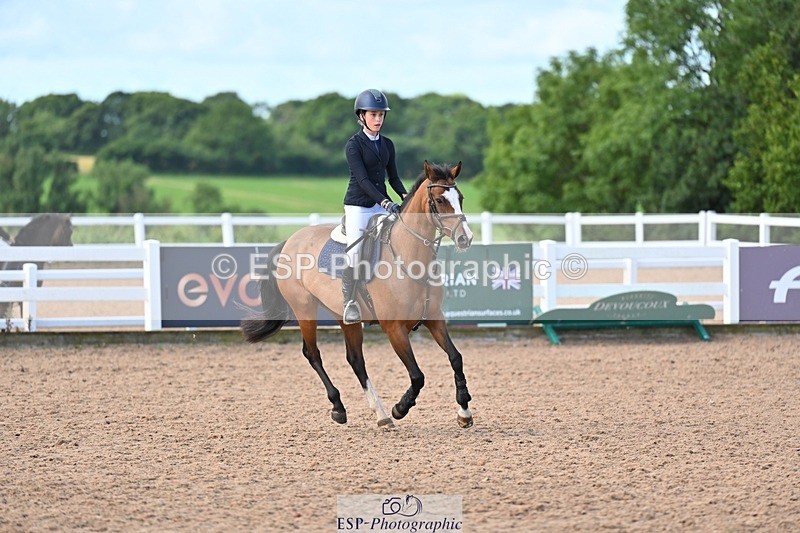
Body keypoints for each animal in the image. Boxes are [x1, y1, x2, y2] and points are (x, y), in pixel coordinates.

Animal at [242, 161, 475, 428]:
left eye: (460, 198)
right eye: (439, 200)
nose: (465, 238)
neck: (409, 258)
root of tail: (290, 241)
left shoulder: (434, 318)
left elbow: (456, 358)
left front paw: (464, 411)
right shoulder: (394, 329)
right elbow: (417, 376)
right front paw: (400, 408)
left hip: (345, 317)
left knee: (355, 360)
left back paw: (380, 414)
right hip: (304, 309)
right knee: (313, 354)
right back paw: (340, 408)